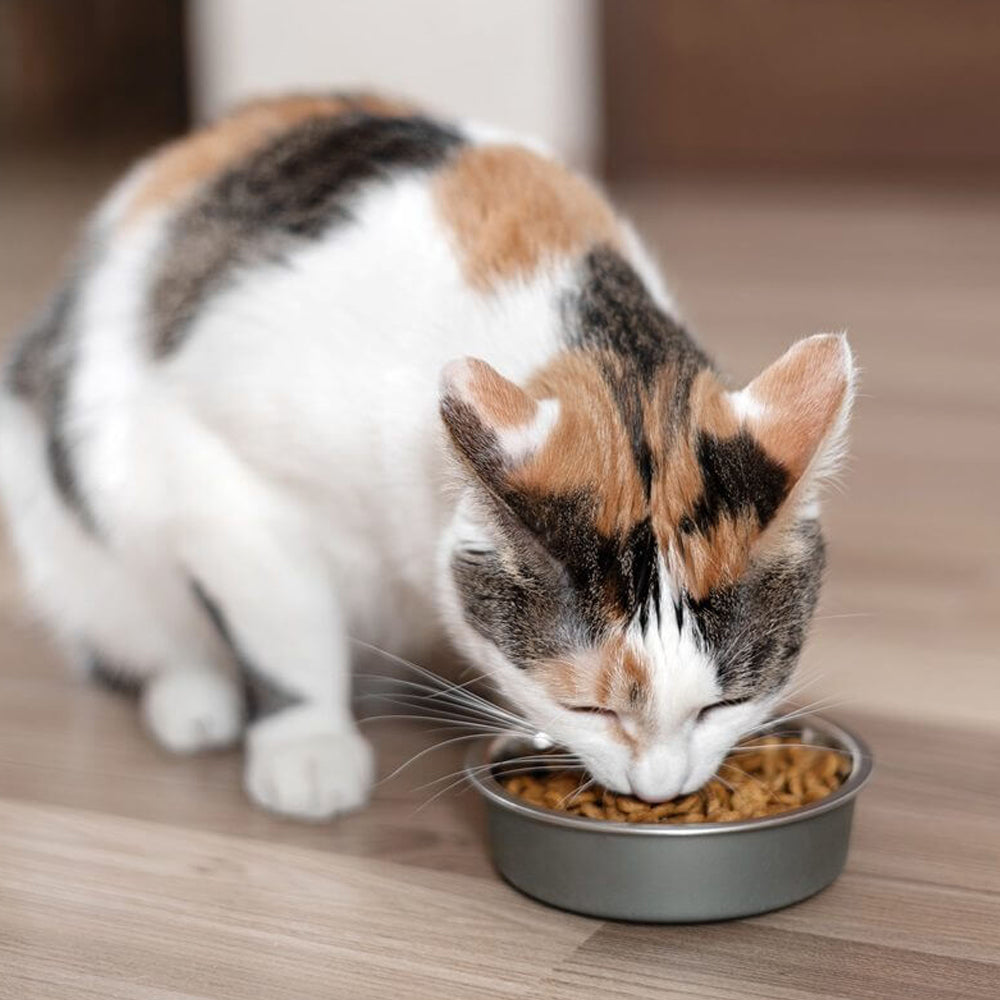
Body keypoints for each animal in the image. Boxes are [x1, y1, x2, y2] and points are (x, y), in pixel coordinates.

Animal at [1, 94, 852, 820]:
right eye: (586, 707)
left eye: (725, 703)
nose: (661, 789)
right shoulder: (224, 474)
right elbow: (285, 626)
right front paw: (309, 745)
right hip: (67, 521)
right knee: (132, 632)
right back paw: (194, 699)